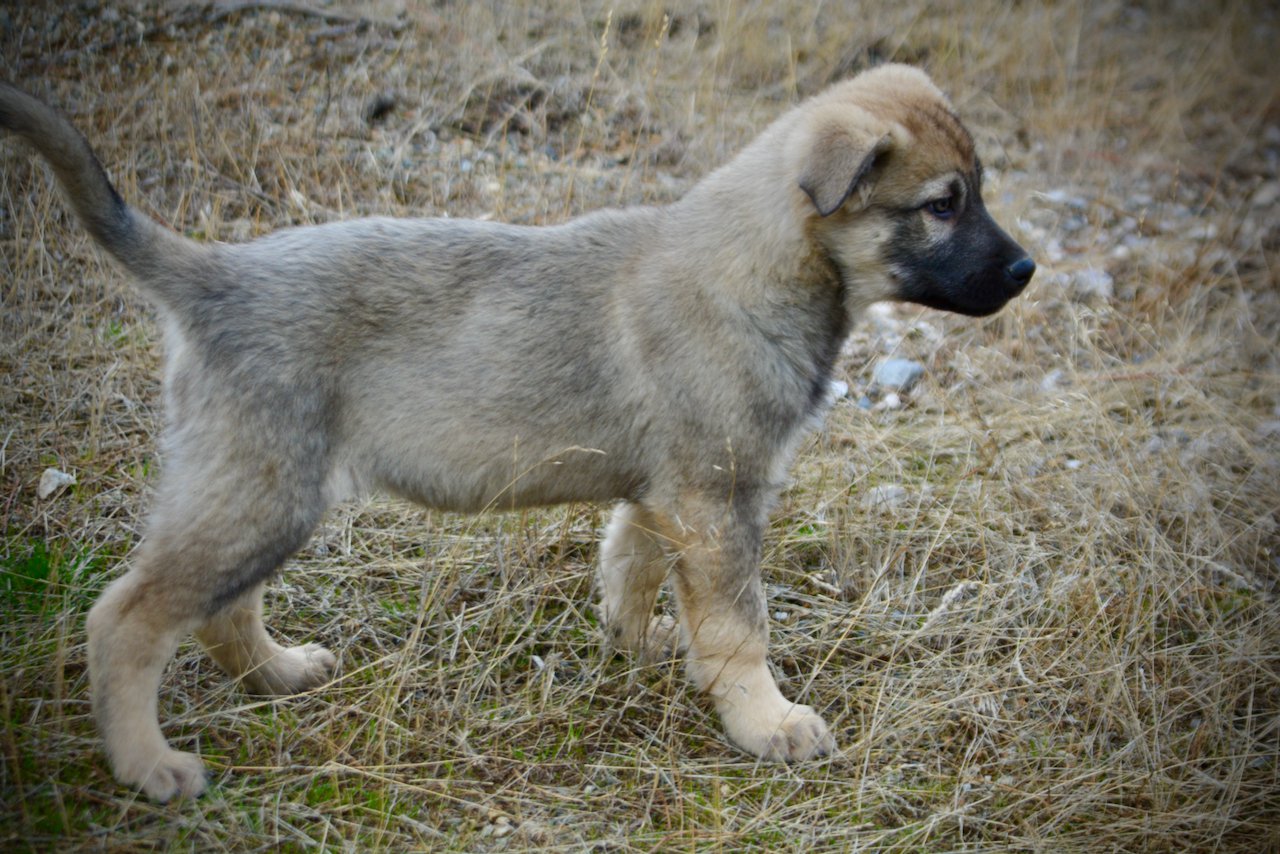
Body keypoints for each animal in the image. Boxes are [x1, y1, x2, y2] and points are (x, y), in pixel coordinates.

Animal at [0, 65, 1034, 804]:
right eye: (943, 204)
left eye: (976, 191)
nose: (1026, 270)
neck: (764, 264)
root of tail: (213, 273)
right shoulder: (718, 497)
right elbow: (742, 625)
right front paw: (766, 722)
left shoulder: (667, 494)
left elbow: (631, 567)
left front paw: (640, 643)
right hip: (259, 491)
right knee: (128, 617)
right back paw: (147, 764)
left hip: (264, 490)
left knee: (220, 607)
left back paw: (278, 674)